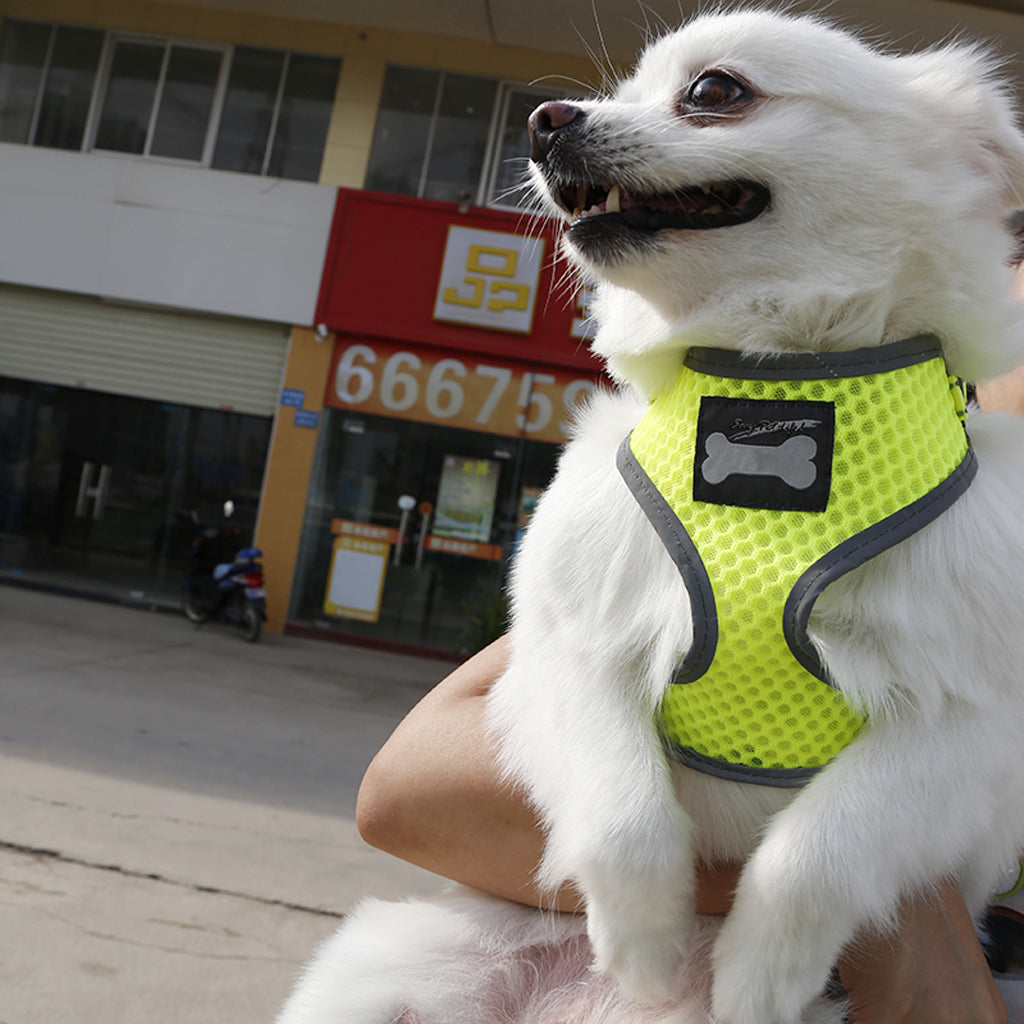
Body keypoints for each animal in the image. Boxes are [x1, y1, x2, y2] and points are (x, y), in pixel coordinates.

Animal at [280, 9, 1024, 1024]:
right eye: (625, 89)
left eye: (714, 91)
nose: (545, 118)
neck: (779, 384)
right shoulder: (566, 648)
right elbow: (621, 805)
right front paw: (643, 938)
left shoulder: (968, 733)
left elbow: (822, 847)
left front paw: (758, 977)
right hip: (395, 971)